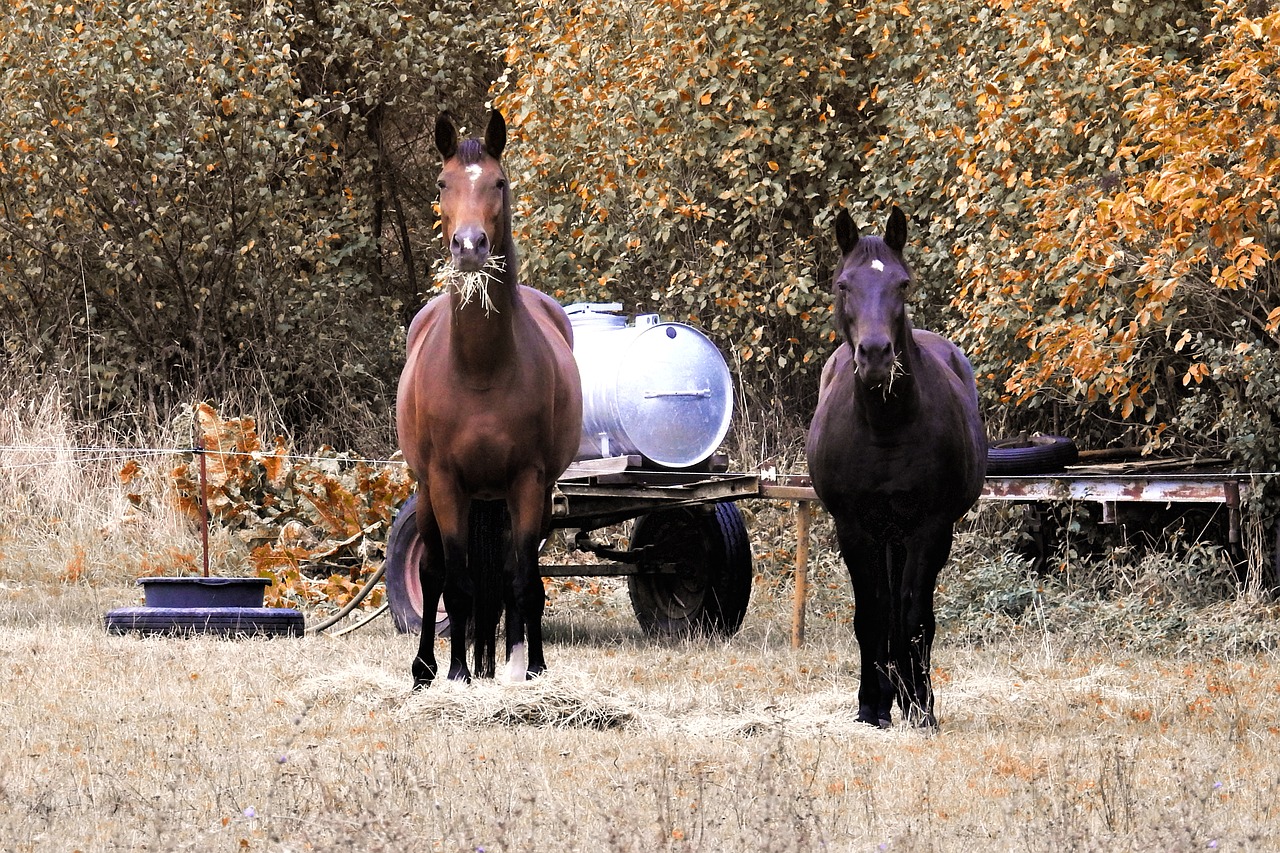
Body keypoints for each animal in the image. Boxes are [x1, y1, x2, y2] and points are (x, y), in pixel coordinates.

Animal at [394, 111, 586, 686]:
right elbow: (455, 584)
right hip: (431, 494)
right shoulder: (444, 482)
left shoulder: (527, 482)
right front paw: (457, 672)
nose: (470, 245)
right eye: (442, 183)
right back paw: (426, 667)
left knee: (507, 577)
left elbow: (522, 581)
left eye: (498, 183)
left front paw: (529, 668)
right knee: (432, 572)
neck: (479, 369)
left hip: (521, 499)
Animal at [803, 204, 983, 722]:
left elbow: (915, 617)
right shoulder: (852, 527)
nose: (876, 355)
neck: (886, 427)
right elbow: (871, 613)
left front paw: (921, 708)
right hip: (883, 533)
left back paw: (906, 692)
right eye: (844, 284)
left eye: (902, 284)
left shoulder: (930, 527)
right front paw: (870, 705)